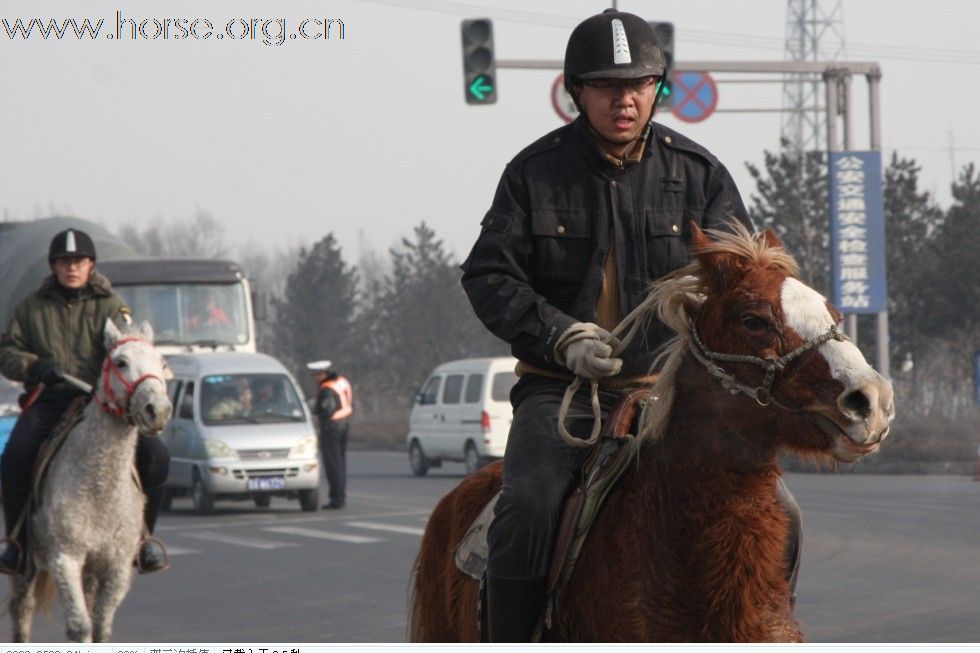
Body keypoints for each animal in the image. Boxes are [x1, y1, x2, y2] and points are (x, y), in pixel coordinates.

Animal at [9, 318, 172, 640]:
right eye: (121, 362)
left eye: (161, 362)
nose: (158, 411)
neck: (99, 489)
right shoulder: (65, 558)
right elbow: (80, 626)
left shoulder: (117, 568)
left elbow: (101, 628)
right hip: (27, 563)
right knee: (22, 608)